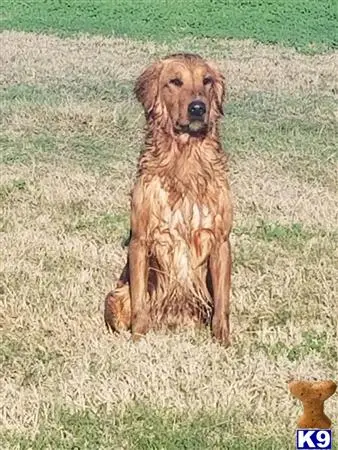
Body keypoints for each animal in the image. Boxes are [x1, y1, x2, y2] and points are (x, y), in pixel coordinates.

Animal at [105, 54, 232, 346]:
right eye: (175, 81)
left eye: (206, 81)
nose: (198, 108)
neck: (184, 159)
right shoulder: (140, 241)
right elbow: (140, 305)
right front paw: (138, 339)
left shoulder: (220, 240)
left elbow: (223, 304)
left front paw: (223, 341)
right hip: (114, 296)